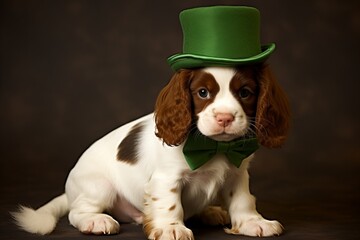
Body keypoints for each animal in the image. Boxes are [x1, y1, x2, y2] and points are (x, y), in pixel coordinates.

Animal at [12, 64, 292, 240]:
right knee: (76, 211)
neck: (214, 146)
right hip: (98, 187)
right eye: (203, 93)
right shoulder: (166, 177)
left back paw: (210, 211)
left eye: (245, 93)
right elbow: (169, 203)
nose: (224, 117)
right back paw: (96, 220)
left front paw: (253, 223)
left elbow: (243, 200)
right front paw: (170, 229)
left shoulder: (237, 174)